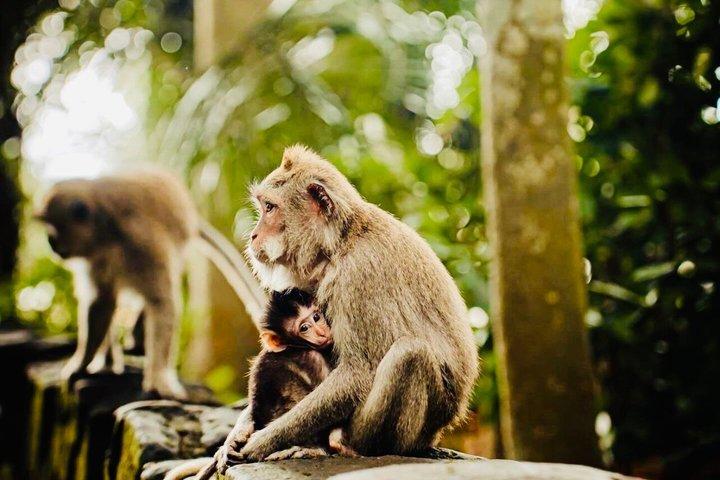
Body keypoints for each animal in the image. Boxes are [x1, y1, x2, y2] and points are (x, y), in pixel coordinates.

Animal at [35, 169, 265, 399]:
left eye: (53, 229)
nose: (50, 242)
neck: (107, 232)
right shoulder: (96, 259)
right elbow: (101, 302)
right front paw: (81, 364)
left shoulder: (143, 242)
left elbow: (161, 302)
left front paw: (159, 378)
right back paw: (110, 358)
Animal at [208, 144, 478, 470]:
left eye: (270, 208)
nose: (253, 235)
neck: (339, 242)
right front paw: (235, 435)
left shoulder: (359, 275)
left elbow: (358, 372)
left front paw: (261, 442)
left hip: (410, 434)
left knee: (410, 354)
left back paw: (345, 446)